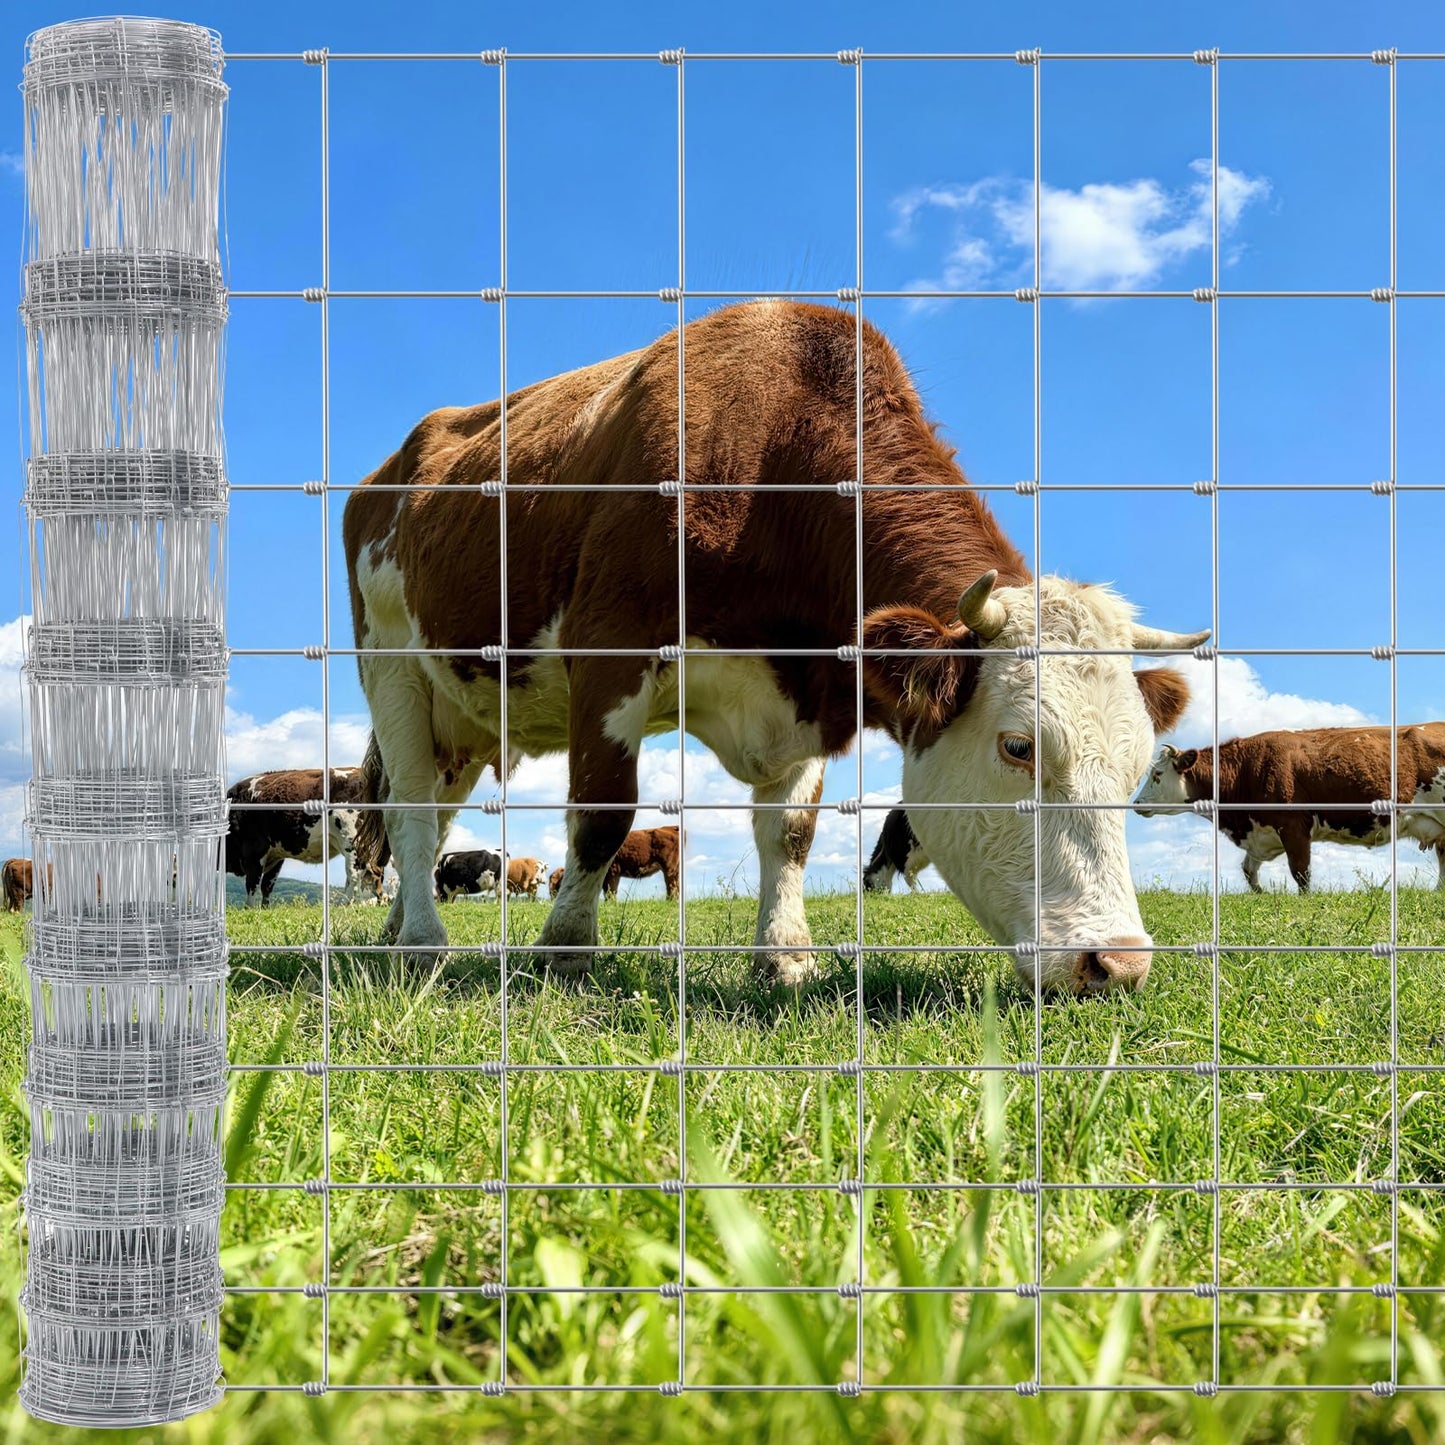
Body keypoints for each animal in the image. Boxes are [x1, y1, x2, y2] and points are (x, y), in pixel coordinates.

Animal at [225, 768, 380, 905]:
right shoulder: (276, 856)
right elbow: (267, 886)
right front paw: (265, 908)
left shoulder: (255, 850)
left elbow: (252, 884)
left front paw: (249, 908)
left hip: (353, 842)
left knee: (354, 873)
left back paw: (345, 905)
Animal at [344, 300, 1206, 995]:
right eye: (1018, 746)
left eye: (1139, 763)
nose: (1118, 963)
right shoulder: (609, 652)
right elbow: (602, 813)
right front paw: (565, 948)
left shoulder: (815, 692)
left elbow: (789, 833)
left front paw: (784, 955)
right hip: (390, 671)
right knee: (411, 805)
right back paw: (421, 942)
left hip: (460, 713)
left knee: (433, 819)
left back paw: (395, 926)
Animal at [1136, 725, 1445, 893]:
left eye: (1157, 775)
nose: (1137, 804)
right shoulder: (1261, 831)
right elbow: (1248, 870)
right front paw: (1261, 894)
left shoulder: (1294, 825)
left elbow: (1301, 872)